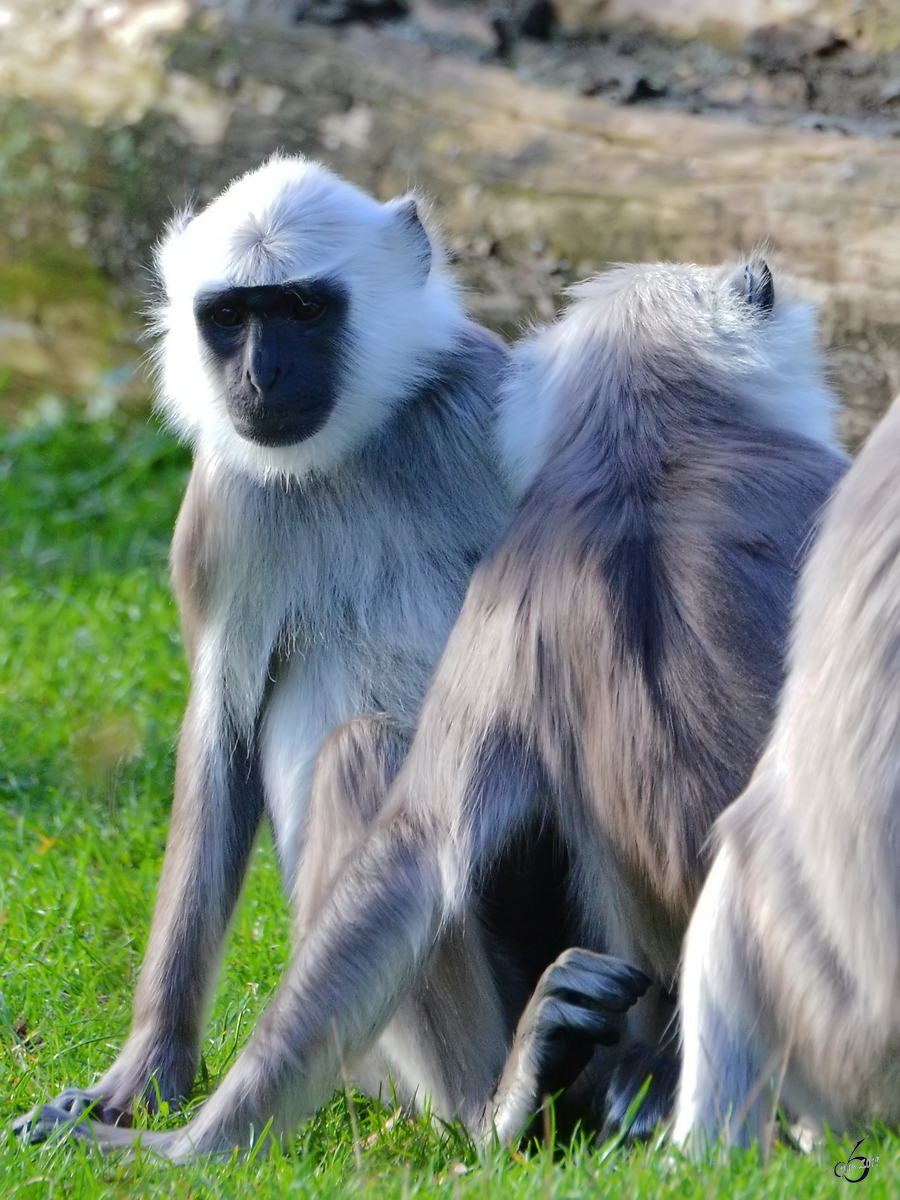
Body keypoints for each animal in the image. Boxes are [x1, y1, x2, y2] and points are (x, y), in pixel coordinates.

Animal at [21, 258, 849, 1156]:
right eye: (236, 320)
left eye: (300, 312)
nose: (263, 374)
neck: (651, 453)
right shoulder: (224, 501)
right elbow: (239, 743)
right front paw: (158, 1097)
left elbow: (415, 848)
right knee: (362, 753)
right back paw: (503, 1097)